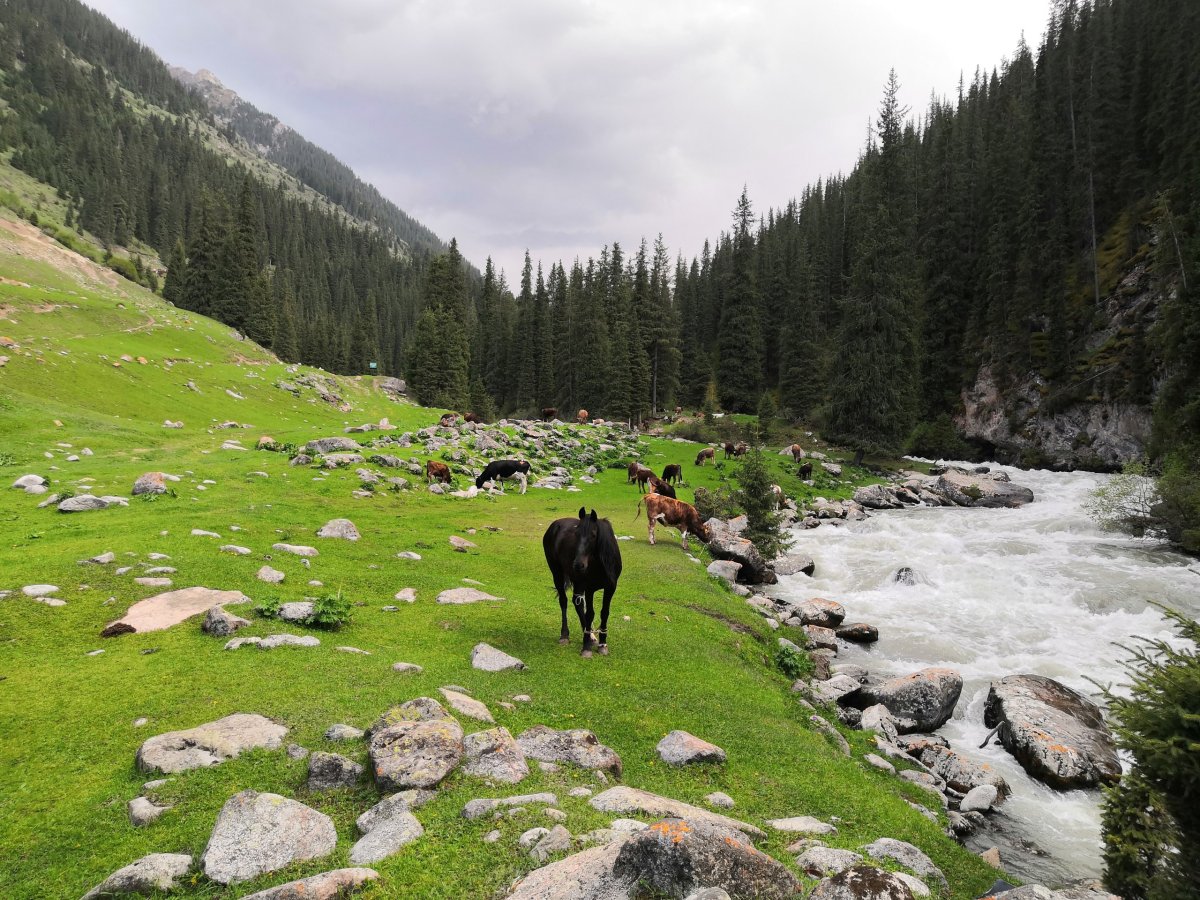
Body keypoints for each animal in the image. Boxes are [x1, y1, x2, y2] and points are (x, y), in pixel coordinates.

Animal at [542, 511, 619, 657]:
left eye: (593, 534)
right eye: (576, 534)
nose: (578, 564)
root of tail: (555, 525)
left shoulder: (610, 588)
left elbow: (604, 612)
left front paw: (602, 644)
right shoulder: (589, 588)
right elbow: (590, 614)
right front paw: (586, 648)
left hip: (578, 582)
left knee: (577, 603)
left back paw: (592, 637)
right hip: (557, 573)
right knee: (564, 601)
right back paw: (565, 636)